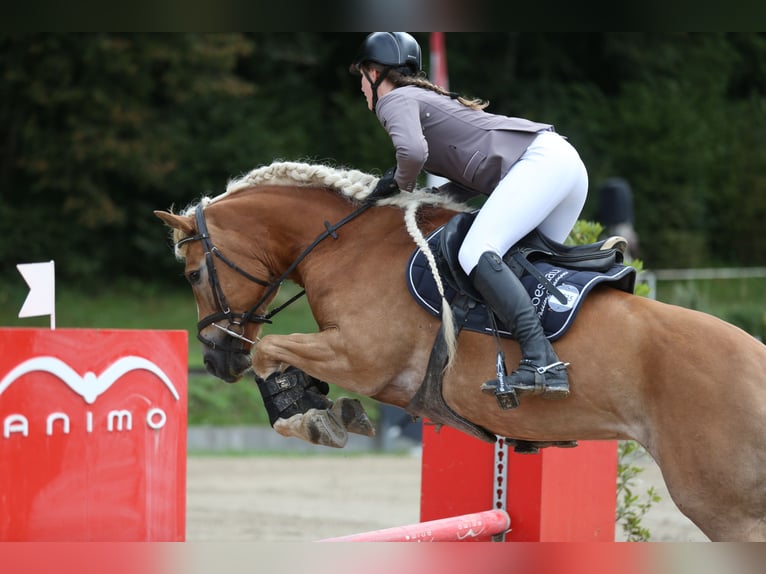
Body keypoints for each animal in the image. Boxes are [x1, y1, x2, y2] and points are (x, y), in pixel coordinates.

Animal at [154, 161, 766, 540]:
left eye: (192, 274)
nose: (215, 359)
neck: (345, 245)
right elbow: (279, 353)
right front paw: (322, 406)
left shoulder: (362, 357)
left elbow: (271, 351)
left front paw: (306, 415)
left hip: (723, 505)